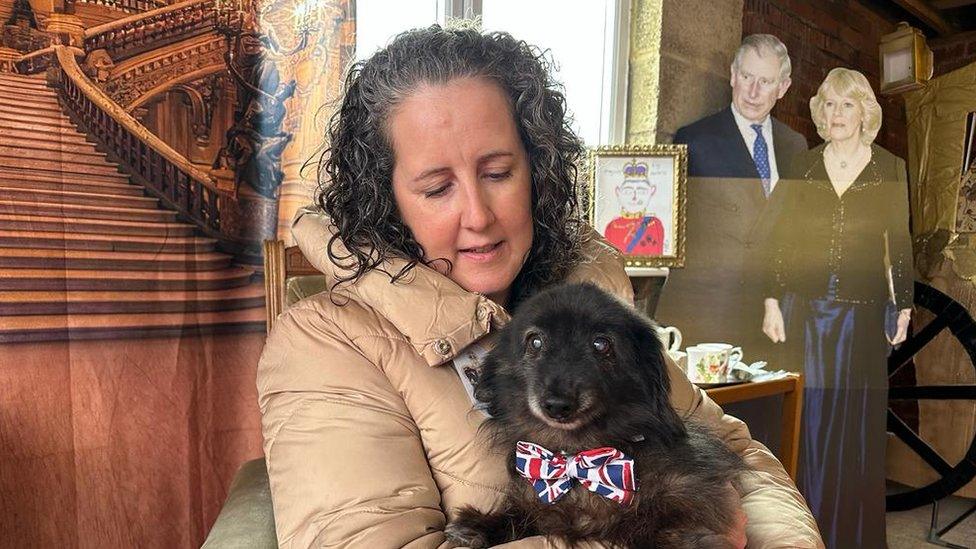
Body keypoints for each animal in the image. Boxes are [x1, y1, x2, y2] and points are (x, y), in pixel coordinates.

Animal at [448, 282, 748, 548]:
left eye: (601, 344)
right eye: (535, 342)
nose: (557, 405)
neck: (575, 455)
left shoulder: (687, 505)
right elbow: (520, 517)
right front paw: (477, 527)